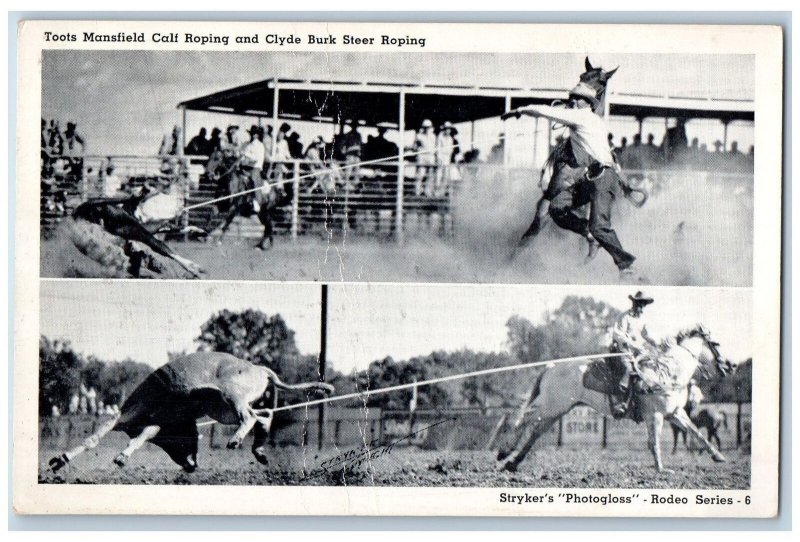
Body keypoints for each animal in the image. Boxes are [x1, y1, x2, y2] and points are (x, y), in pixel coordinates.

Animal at [500, 326, 736, 474]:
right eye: (716, 344)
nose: (732, 365)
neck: (668, 372)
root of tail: (551, 367)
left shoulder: (675, 413)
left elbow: (696, 433)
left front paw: (718, 456)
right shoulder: (655, 415)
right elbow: (654, 442)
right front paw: (661, 469)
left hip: (557, 409)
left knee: (534, 431)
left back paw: (513, 463)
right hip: (551, 406)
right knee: (522, 420)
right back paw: (504, 451)